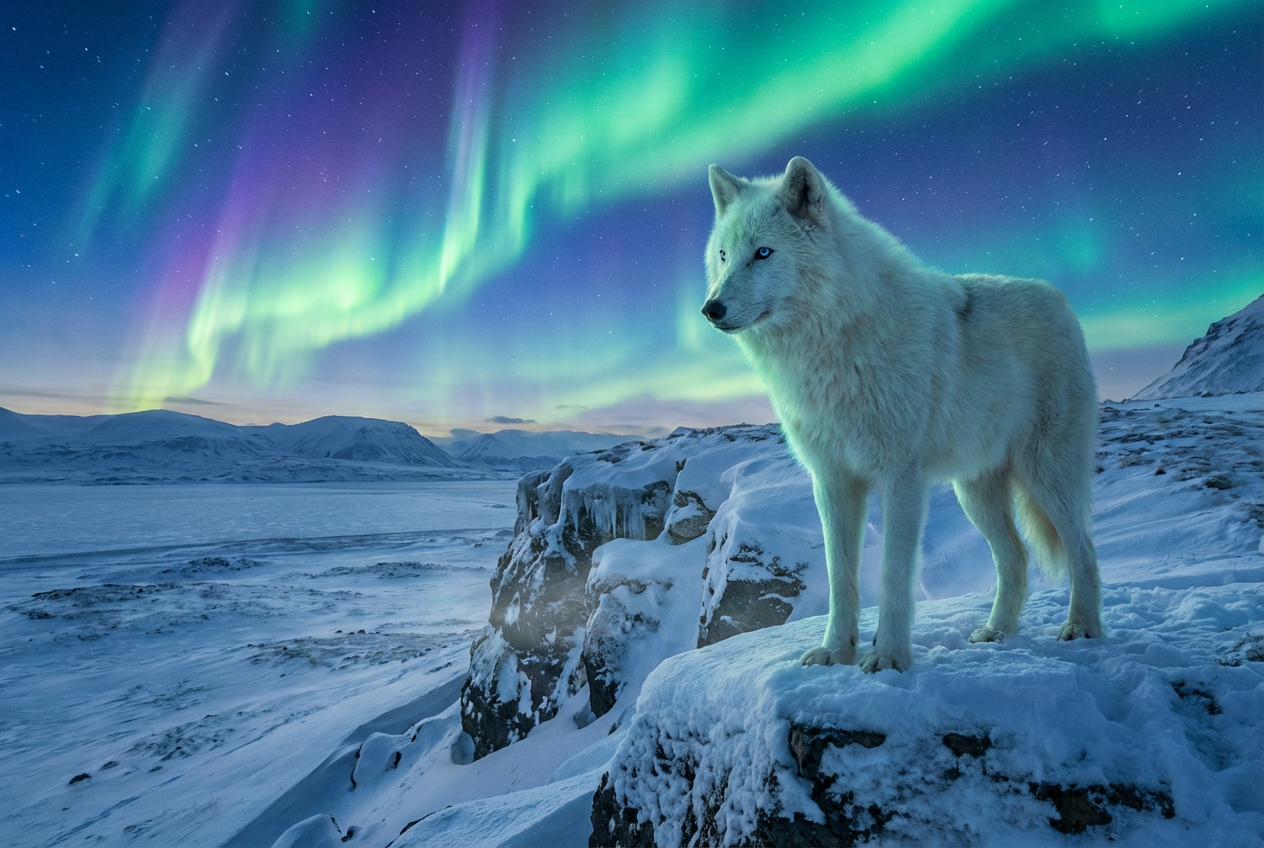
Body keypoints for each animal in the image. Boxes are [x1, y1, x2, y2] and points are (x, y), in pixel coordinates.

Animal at [703, 157, 1102, 672]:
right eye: (724, 255)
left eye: (764, 253)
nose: (710, 308)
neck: (834, 344)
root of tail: (1059, 298)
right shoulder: (832, 481)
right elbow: (841, 578)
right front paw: (837, 651)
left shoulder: (901, 477)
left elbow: (892, 575)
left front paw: (888, 656)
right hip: (975, 492)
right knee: (1015, 557)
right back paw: (996, 632)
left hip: (1047, 475)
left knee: (1084, 549)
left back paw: (1082, 627)